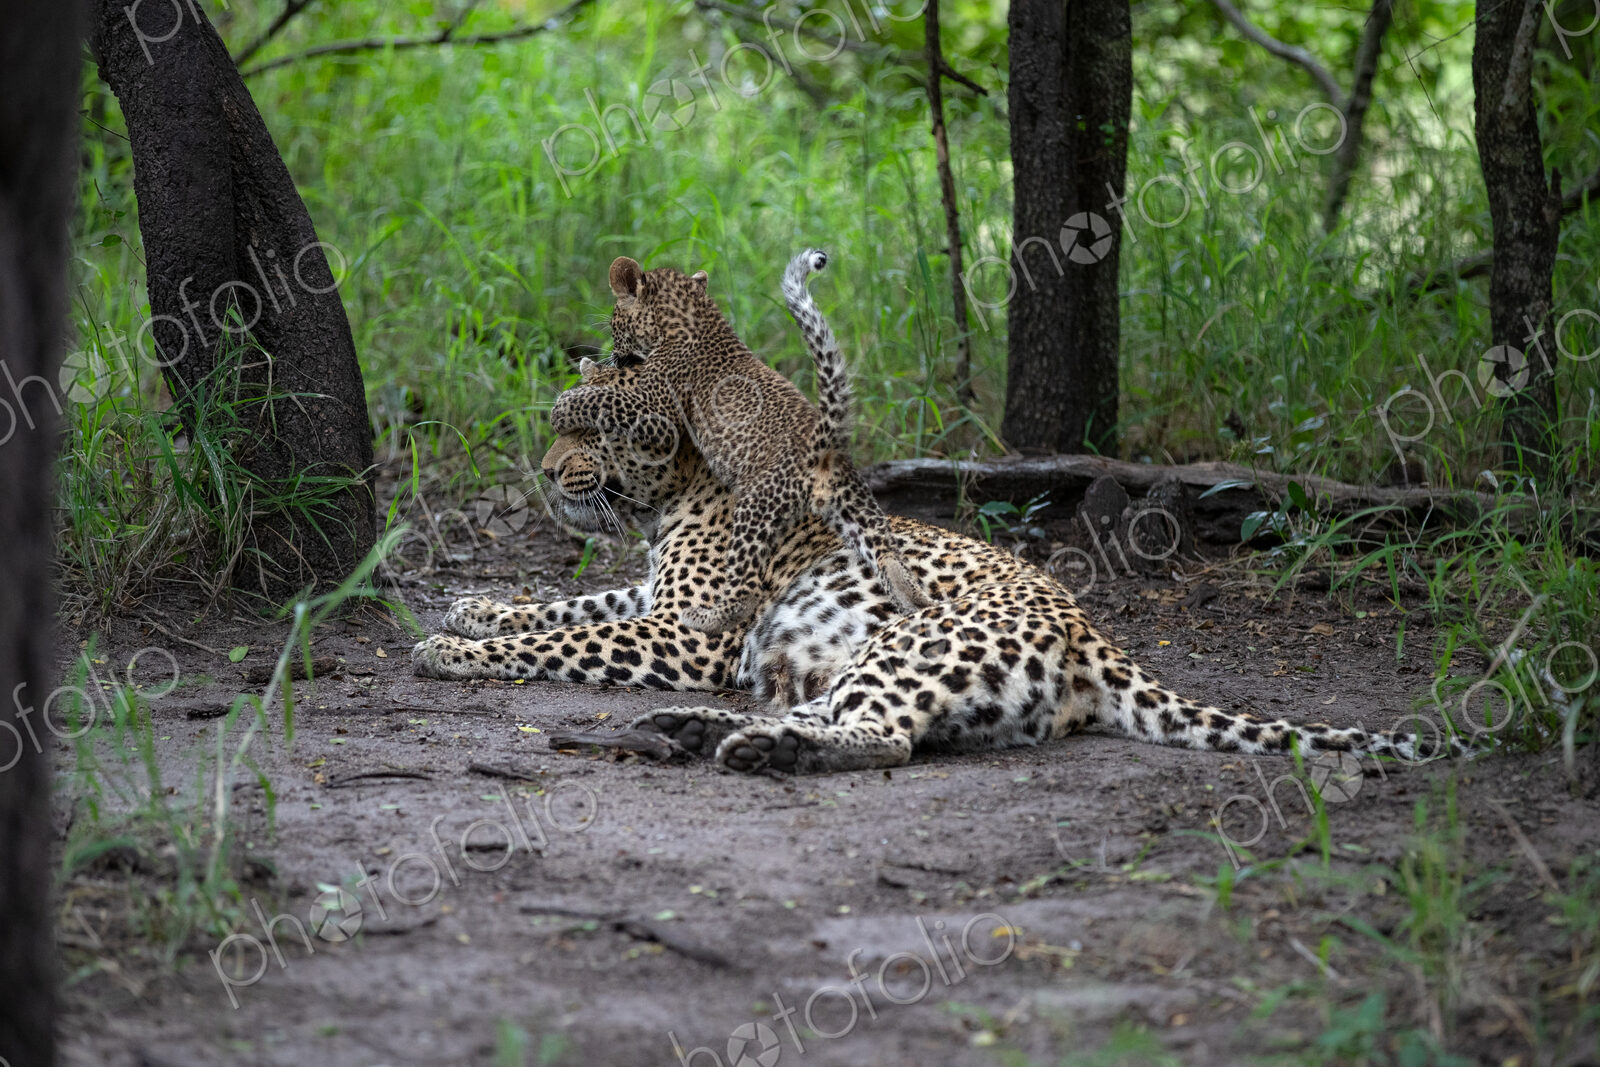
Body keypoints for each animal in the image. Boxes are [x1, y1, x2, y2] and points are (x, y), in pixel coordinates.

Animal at [413, 382, 1473, 776]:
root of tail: (1094, 638)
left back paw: (748, 744)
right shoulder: (655, 599)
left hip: (909, 640)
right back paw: (699, 730)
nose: (546, 471)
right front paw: (470, 607)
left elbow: (566, 637)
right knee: (844, 714)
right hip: (885, 666)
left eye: (589, 430)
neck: (676, 494)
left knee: (882, 736)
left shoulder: (687, 634)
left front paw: (450, 649)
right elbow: (566, 603)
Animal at [546, 251, 930, 635]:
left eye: (613, 322)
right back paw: (916, 602)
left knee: (747, 588)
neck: (693, 316)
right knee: (886, 554)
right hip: (856, 506)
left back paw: (707, 617)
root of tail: (823, 443)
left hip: (755, 510)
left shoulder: (654, 407)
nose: (614, 356)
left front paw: (563, 406)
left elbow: (603, 399)